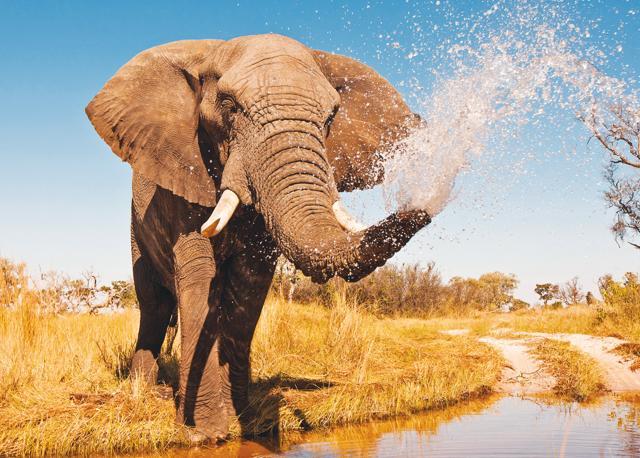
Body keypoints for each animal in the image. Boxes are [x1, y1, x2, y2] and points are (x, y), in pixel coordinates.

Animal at [86, 34, 431, 442]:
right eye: (229, 106)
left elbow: (248, 286)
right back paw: (143, 390)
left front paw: (246, 422)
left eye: (331, 117)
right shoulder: (184, 175)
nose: (423, 209)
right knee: (153, 304)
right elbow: (199, 277)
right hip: (136, 229)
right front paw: (205, 432)